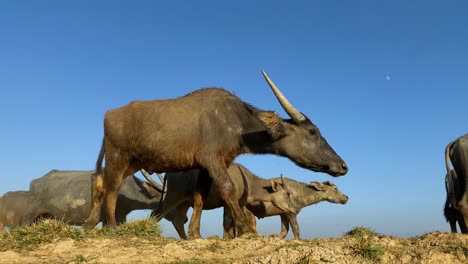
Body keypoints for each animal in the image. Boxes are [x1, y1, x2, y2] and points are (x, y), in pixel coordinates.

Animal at [84, 70, 348, 237]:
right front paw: (246, 229)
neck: (238, 124)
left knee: (99, 182)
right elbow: (227, 189)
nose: (343, 166)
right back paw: (110, 227)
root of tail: (109, 114)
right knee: (110, 187)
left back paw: (89, 224)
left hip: (132, 161)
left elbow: (199, 197)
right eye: (313, 131)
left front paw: (196, 234)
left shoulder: (205, 166)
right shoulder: (212, 159)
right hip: (118, 157)